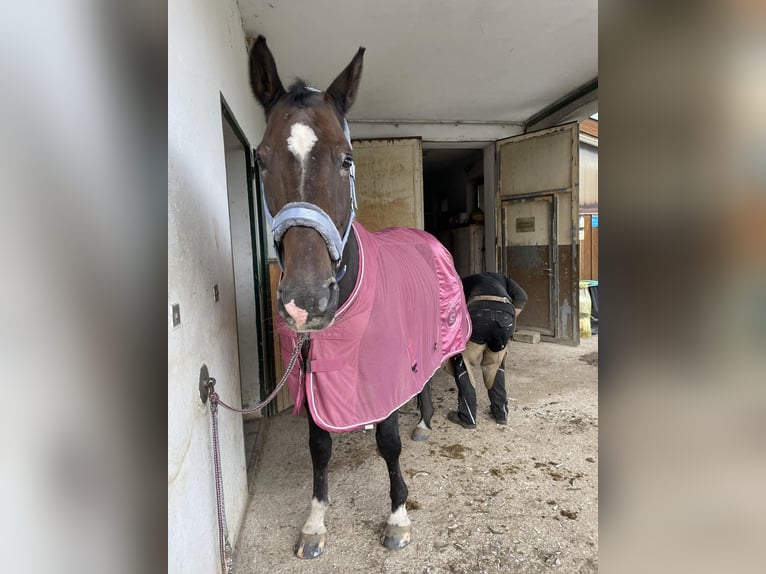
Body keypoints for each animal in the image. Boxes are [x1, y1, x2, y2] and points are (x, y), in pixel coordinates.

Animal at [249, 36, 472, 560]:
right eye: (261, 159)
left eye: (346, 158)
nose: (306, 300)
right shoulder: (314, 380)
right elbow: (319, 447)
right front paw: (314, 524)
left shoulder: (384, 364)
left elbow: (389, 443)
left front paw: (397, 516)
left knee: (439, 369)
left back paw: (430, 422)